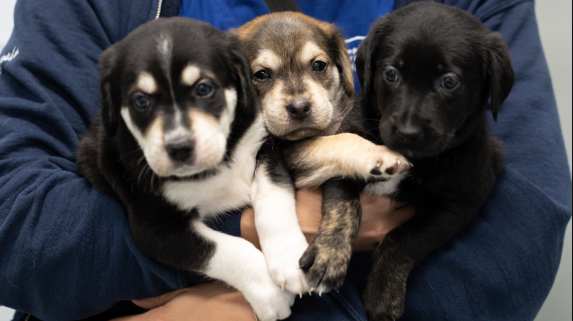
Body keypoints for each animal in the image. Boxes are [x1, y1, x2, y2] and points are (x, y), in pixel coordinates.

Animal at [79, 18, 300, 320]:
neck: (218, 163)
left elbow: (274, 195)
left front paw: (291, 258)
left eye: (204, 89)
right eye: (140, 101)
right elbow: (226, 250)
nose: (179, 147)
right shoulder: (156, 229)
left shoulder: (265, 147)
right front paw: (271, 296)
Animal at [298, 3, 512, 320]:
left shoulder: (459, 203)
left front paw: (383, 292)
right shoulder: (344, 152)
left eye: (449, 82)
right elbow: (344, 208)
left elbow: (405, 238)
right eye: (391, 74)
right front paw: (329, 257)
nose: (408, 133)